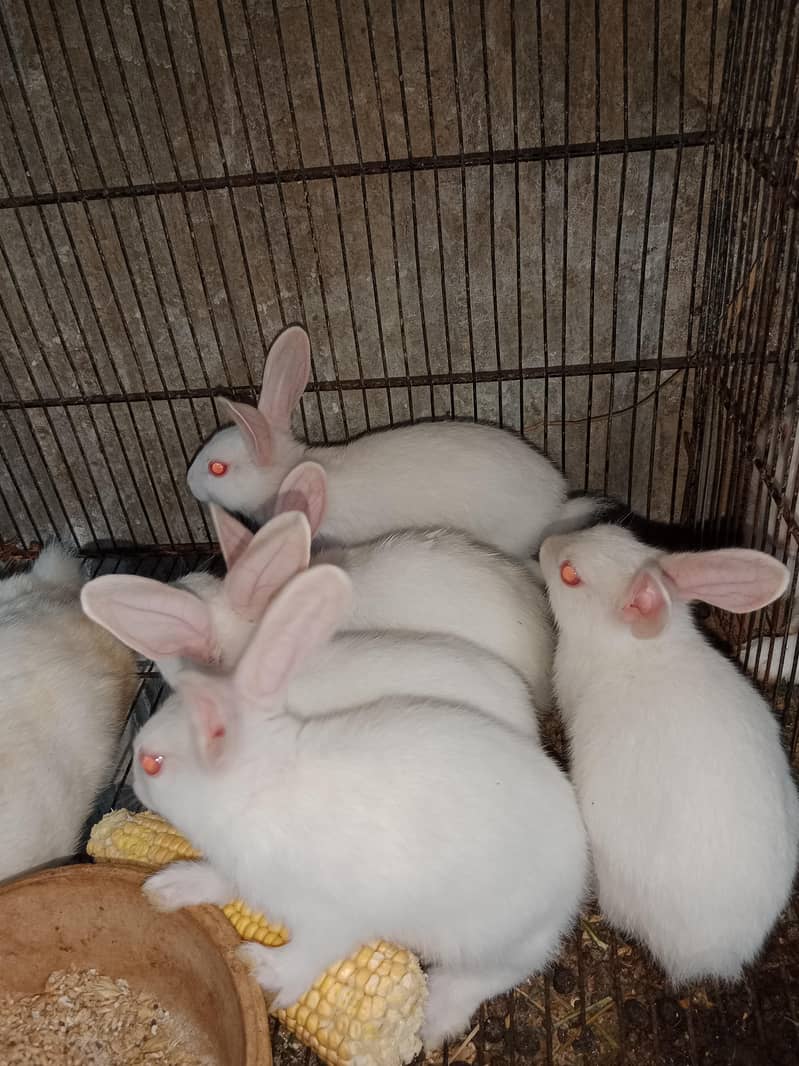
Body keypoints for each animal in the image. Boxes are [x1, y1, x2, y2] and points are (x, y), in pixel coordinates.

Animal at [131, 564, 588, 1048]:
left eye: (153, 763)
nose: (135, 781)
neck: (258, 789)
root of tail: (577, 868)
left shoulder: (333, 917)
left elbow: (313, 950)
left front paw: (263, 969)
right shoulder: (242, 872)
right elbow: (219, 882)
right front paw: (167, 888)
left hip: (490, 934)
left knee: (500, 971)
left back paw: (436, 1017)